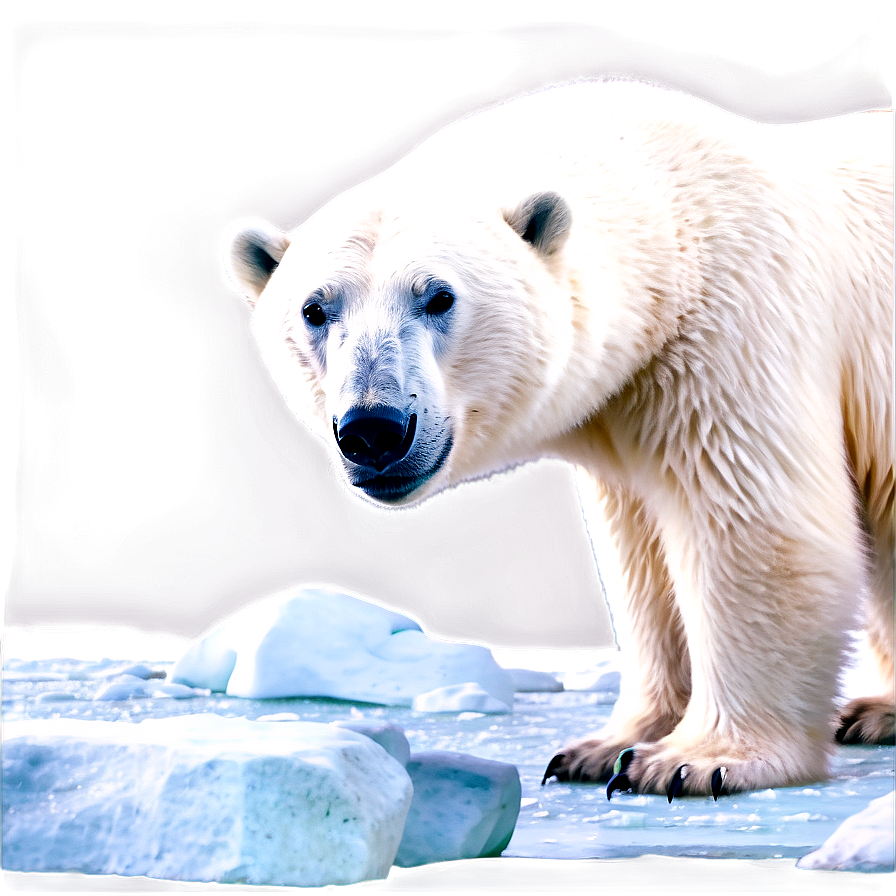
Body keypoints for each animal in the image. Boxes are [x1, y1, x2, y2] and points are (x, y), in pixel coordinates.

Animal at [222, 79, 895, 798]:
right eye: (315, 309)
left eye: (439, 297)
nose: (374, 428)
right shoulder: (628, 400)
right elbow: (643, 562)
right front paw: (604, 747)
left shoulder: (733, 328)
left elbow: (752, 527)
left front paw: (696, 760)